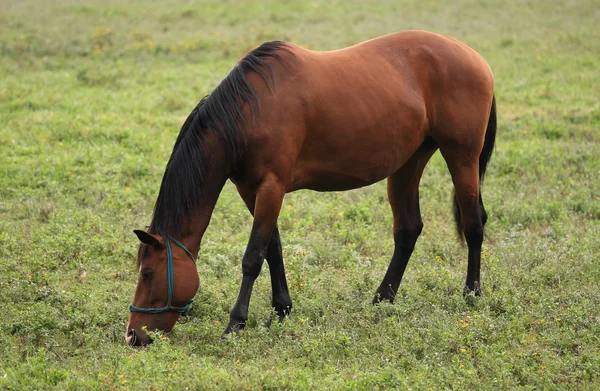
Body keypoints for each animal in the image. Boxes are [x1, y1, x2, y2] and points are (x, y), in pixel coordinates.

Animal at [124, 30, 494, 348]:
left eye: (149, 274)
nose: (133, 335)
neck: (249, 112)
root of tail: (476, 58)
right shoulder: (250, 189)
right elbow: (273, 248)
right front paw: (281, 309)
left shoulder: (271, 186)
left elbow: (253, 257)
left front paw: (235, 324)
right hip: (408, 164)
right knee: (408, 230)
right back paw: (382, 298)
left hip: (462, 157)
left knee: (473, 223)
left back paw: (471, 294)